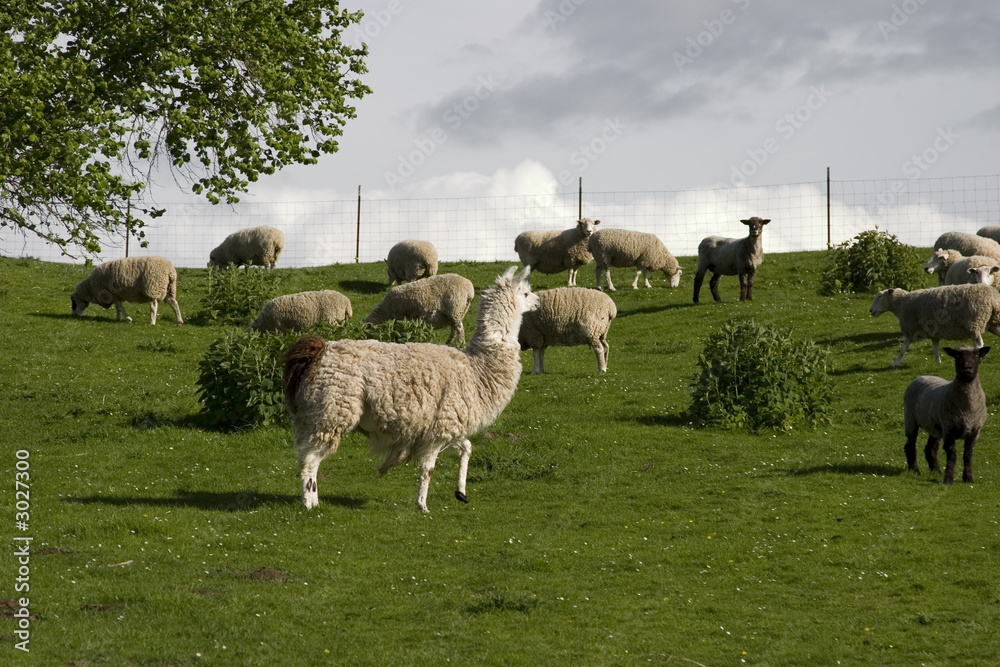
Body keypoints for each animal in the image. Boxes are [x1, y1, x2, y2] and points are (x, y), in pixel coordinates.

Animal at [283, 266, 539, 513]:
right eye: (526, 293)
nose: (538, 302)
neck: (477, 370)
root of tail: (320, 351)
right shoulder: (441, 426)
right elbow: (428, 469)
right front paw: (422, 506)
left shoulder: (444, 427)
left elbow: (467, 448)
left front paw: (461, 493)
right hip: (330, 411)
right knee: (310, 460)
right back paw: (309, 504)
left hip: (316, 414)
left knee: (307, 457)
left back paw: (313, 501)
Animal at [868, 283, 1000, 368]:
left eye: (879, 296)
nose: (870, 311)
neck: (901, 304)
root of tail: (993, 298)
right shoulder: (934, 333)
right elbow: (935, 348)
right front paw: (938, 362)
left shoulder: (911, 329)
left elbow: (903, 349)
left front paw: (895, 363)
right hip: (992, 323)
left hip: (974, 322)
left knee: (979, 344)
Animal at [903, 346, 989, 484]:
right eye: (957, 356)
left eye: (977, 355)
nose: (967, 368)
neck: (967, 410)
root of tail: (921, 376)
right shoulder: (949, 429)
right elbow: (952, 456)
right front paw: (948, 479)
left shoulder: (975, 431)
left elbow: (967, 455)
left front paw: (968, 479)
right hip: (910, 419)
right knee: (910, 445)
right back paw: (915, 470)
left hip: (936, 427)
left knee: (930, 448)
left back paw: (936, 470)